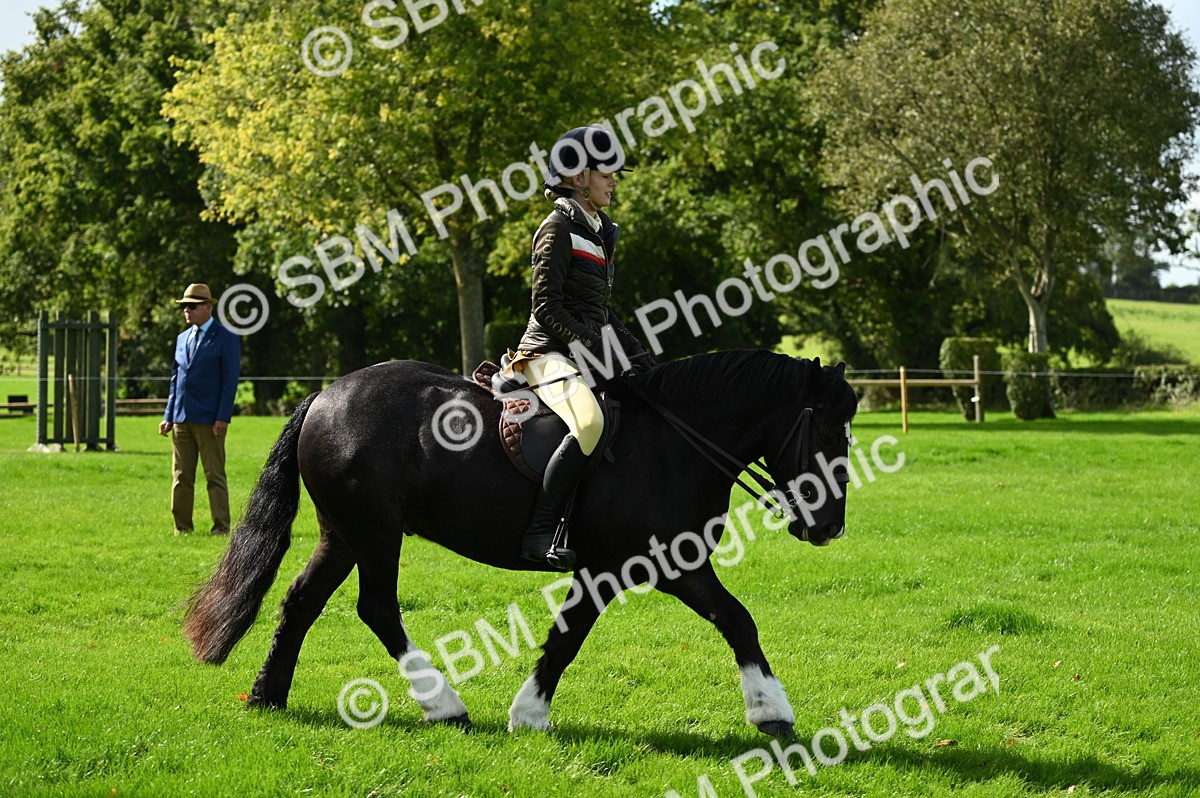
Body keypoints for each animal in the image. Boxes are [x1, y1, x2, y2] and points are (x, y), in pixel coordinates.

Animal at [183, 349, 859, 738]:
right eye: (828, 431)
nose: (829, 527)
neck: (671, 443)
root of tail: (326, 395)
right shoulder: (614, 567)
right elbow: (568, 638)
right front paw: (529, 713)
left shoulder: (678, 562)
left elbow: (737, 620)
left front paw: (771, 711)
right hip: (375, 532)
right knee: (376, 607)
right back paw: (444, 706)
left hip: (344, 532)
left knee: (301, 601)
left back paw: (268, 696)